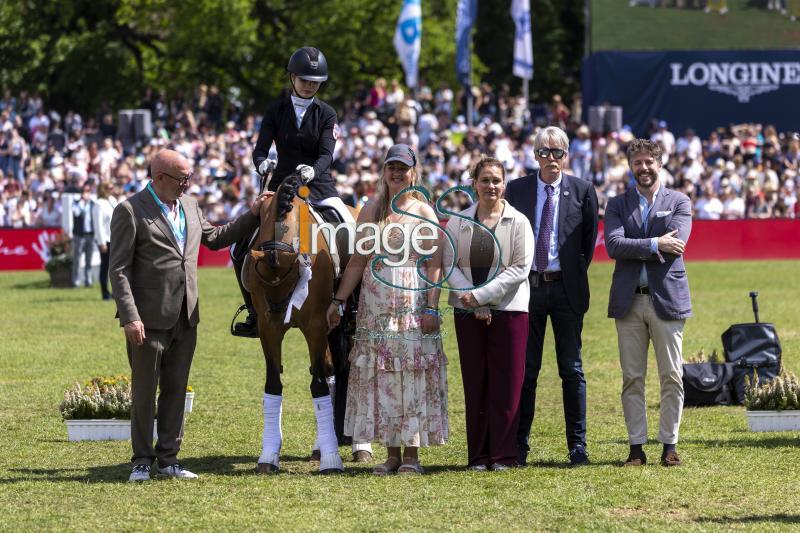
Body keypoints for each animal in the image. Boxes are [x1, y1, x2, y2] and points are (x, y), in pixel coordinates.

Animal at [244, 171, 356, 474]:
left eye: (292, 275)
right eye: (254, 277)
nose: (280, 310)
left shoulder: (315, 325)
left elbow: (317, 385)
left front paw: (332, 461)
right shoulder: (269, 329)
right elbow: (273, 384)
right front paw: (268, 456)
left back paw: (357, 447)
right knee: (331, 370)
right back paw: (322, 445)